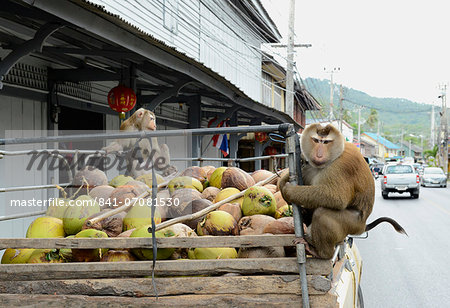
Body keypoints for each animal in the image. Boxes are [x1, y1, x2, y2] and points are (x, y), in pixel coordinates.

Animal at [278, 124, 408, 258]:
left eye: (326, 142)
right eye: (316, 140)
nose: (318, 154)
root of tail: (362, 226)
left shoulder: (342, 166)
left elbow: (337, 198)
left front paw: (289, 190)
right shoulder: (308, 163)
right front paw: (283, 184)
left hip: (352, 223)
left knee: (322, 214)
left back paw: (322, 253)